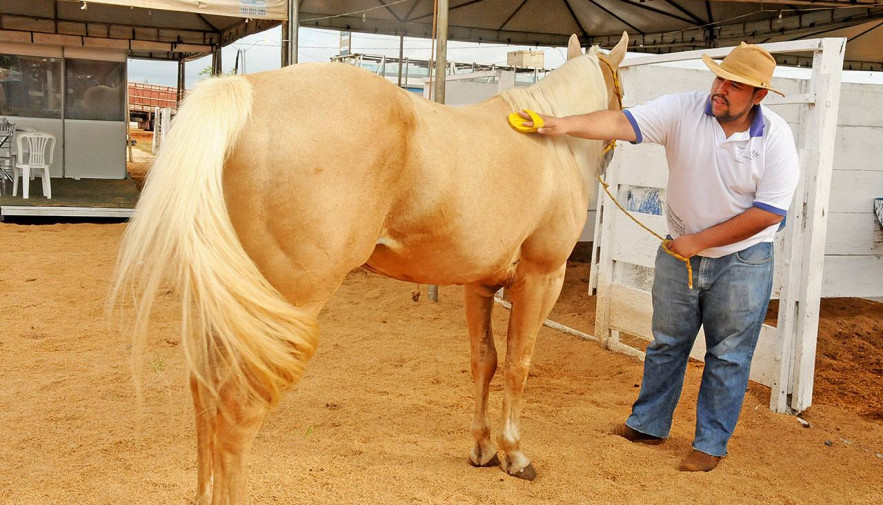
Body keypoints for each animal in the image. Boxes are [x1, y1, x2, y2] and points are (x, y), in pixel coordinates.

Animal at [114, 32, 628, 504]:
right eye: (621, 86)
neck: (552, 144)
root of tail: (246, 91)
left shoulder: (479, 282)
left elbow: (485, 361)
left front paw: (482, 449)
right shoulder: (543, 276)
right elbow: (520, 364)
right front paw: (515, 455)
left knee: (204, 390)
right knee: (238, 409)